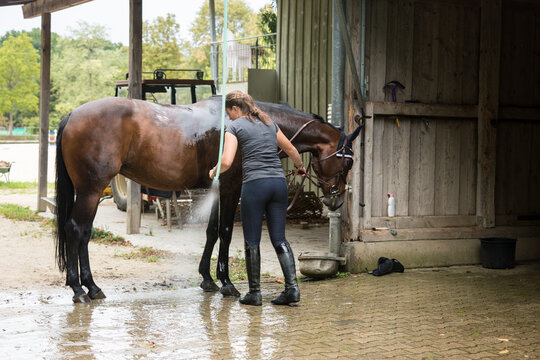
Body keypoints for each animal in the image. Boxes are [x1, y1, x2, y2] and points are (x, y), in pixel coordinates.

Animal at [54, 95, 360, 300]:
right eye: (347, 162)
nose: (336, 201)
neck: (239, 121)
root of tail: (72, 115)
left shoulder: (216, 189)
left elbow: (212, 231)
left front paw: (208, 279)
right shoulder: (231, 188)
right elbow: (225, 231)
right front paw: (227, 282)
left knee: (84, 232)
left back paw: (90, 287)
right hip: (91, 190)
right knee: (77, 229)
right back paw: (81, 288)